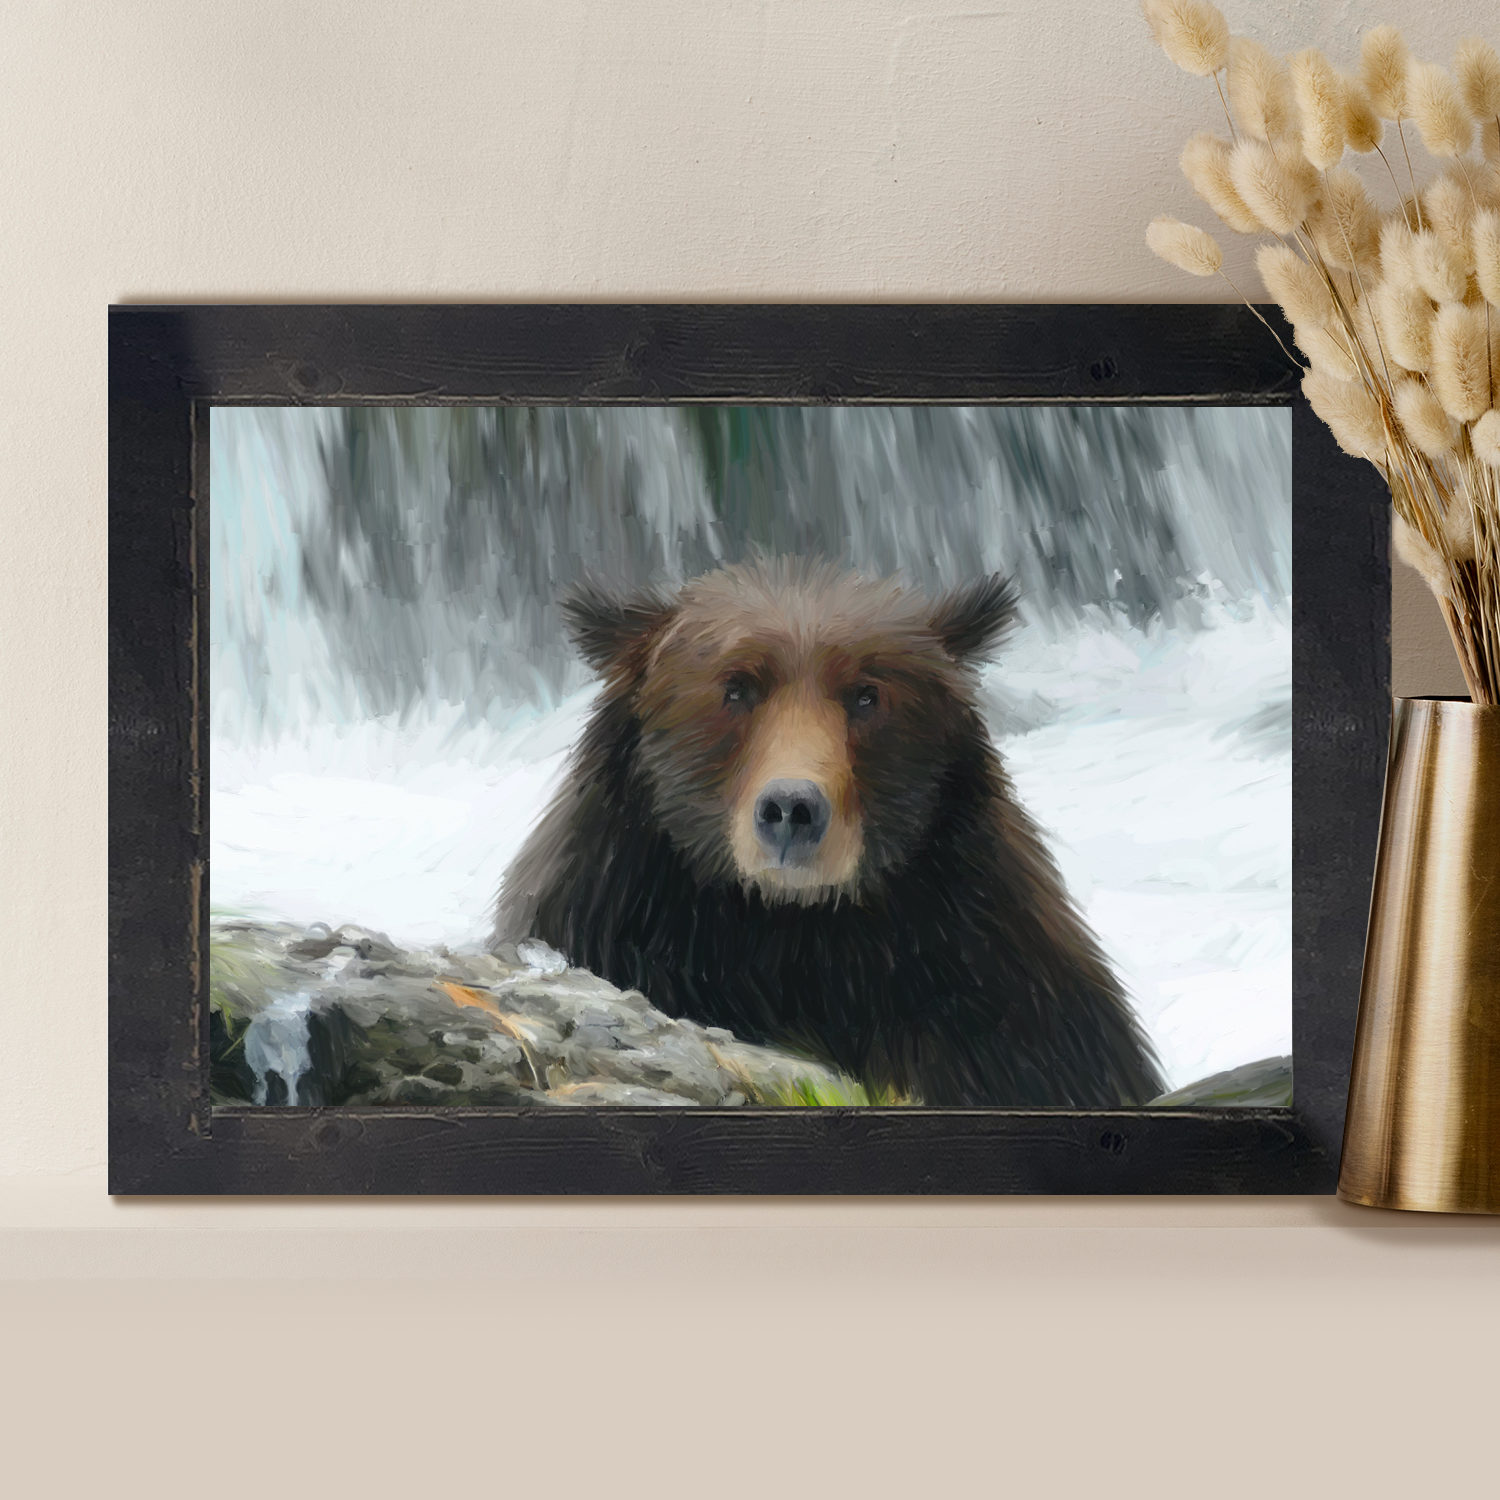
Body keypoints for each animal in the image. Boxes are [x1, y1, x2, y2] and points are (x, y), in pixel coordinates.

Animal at [494, 558, 1164, 1107]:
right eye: (736, 687)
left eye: (866, 694)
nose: (791, 808)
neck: (794, 933)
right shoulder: (612, 916)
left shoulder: (996, 989)